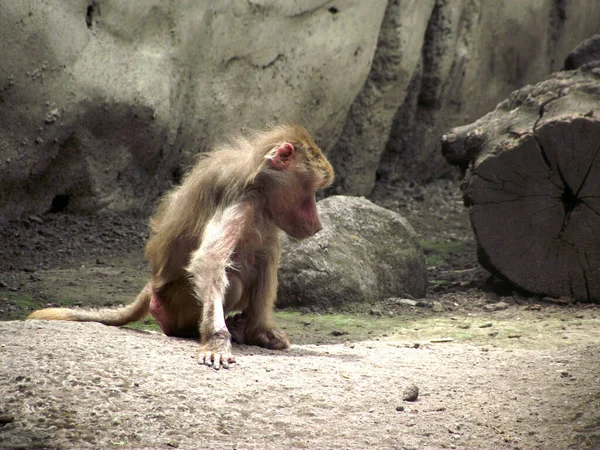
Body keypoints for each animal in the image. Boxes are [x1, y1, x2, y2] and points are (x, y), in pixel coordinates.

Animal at [28, 124, 336, 370]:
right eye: (312, 191)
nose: (318, 224)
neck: (258, 175)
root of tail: (153, 283)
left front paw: (259, 332)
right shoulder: (241, 199)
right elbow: (209, 260)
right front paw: (216, 341)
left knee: (264, 252)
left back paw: (250, 329)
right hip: (175, 304)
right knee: (236, 277)